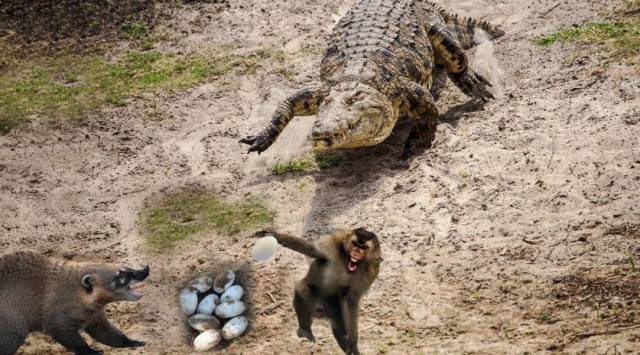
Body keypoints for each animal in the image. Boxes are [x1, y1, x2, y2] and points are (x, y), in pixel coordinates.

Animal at [0, 252, 151, 354]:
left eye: (126, 269)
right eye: (121, 275)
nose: (146, 269)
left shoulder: (94, 314)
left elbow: (103, 332)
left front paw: (131, 342)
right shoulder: (58, 309)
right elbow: (61, 330)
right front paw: (90, 351)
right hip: (11, 322)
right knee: (13, 336)